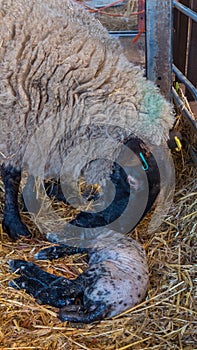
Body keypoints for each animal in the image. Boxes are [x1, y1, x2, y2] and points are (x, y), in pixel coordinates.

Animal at [8, 231, 148, 324]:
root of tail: (107, 305)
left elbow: (74, 243)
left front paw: (50, 245)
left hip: (100, 269)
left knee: (66, 286)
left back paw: (22, 273)